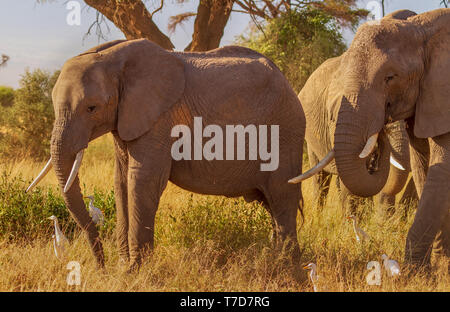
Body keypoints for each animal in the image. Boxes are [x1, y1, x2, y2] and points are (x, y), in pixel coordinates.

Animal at [25, 39, 306, 268]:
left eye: (91, 108)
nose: (100, 267)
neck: (115, 59)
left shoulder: (160, 119)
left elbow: (142, 180)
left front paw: (135, 271)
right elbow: (121, 181)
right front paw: (124, 267)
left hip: (285, 131)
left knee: (282, 197)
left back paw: (286, 268)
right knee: (271, 203)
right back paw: (276, 260)